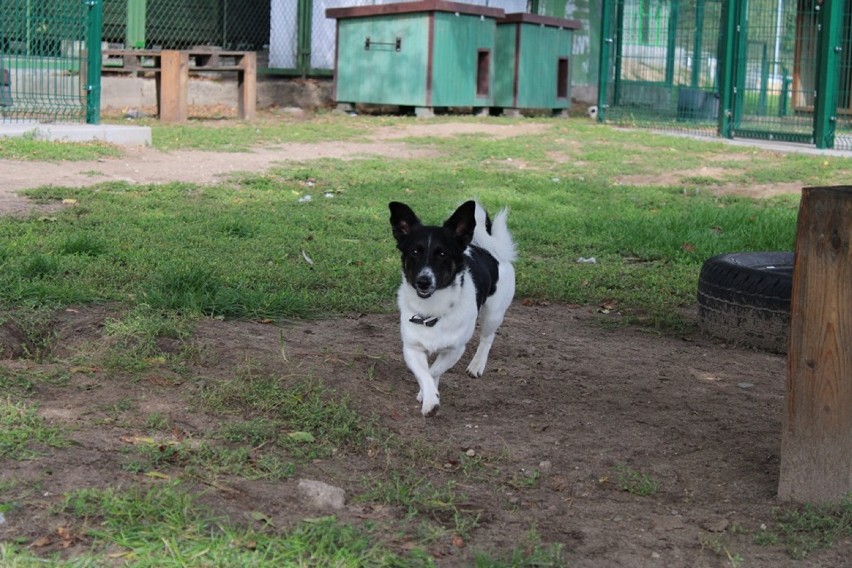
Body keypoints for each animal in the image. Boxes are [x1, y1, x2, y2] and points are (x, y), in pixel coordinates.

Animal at [390, 201, 516, 418]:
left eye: (442, 254)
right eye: (414, 252)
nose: (423, 282)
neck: (431, 310)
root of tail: (488, 247)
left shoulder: (455, 349)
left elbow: (434, 371)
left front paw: (427, 395)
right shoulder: (412, 348)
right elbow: (426, 374)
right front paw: (430, 397)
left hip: (493, 314)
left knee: (487, 339)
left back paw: (477, 365)